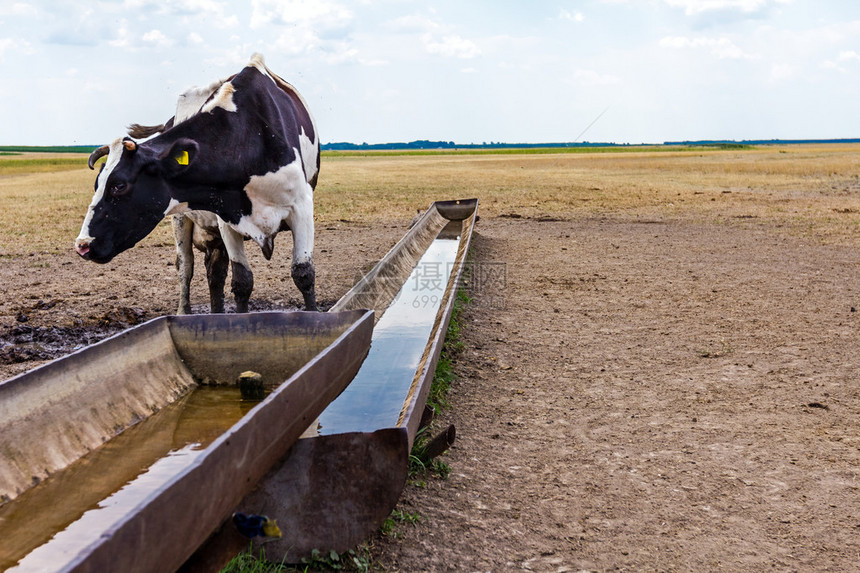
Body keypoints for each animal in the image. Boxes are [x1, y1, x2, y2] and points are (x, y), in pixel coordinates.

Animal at [74, 54, 320, 310]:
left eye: (119, 185)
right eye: (97, 184)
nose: (82, 245)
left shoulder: (301, 208)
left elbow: (303, 274)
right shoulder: (227, 217)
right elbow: (242, 281)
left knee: (214, 273)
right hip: (182, 220)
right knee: (188, 268)